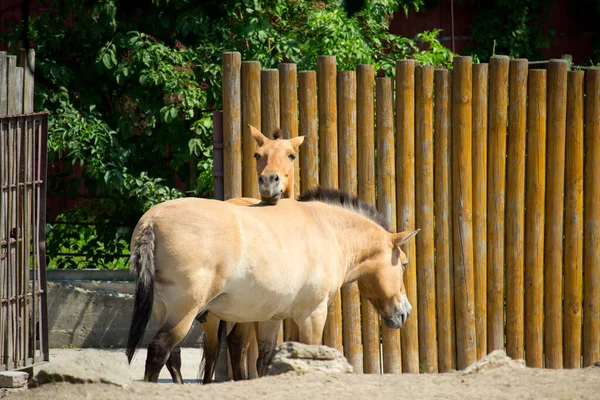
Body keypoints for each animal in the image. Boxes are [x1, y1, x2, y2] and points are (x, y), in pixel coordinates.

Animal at [126, 188, 418, 382]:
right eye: (403, 264)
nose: (405, 312)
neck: (328, 230)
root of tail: (153, 220)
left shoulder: (271, 318)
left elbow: (264, 360)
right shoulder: (313, 314)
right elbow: (311, 352)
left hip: (167, 310)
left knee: (175, 356)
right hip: (186, 312)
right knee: (160, 349)